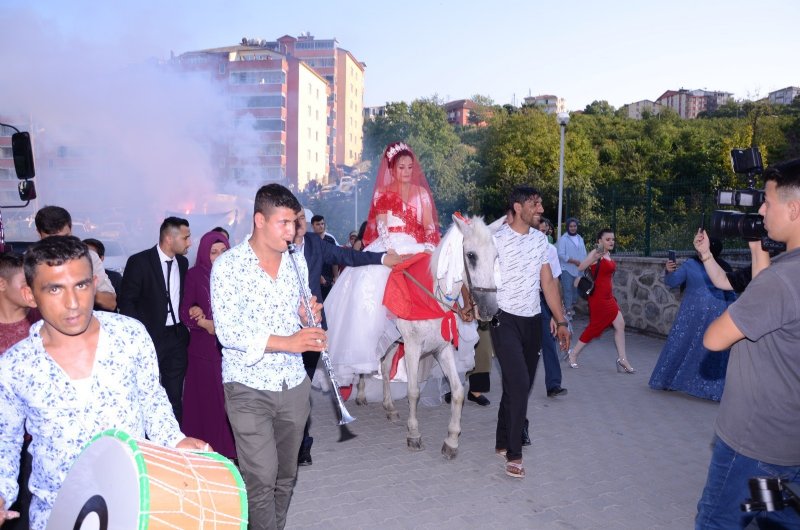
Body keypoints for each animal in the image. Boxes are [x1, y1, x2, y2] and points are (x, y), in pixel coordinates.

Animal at [358, 212, 500, 456]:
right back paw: (359, 394)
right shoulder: (413, 347)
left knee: (384, 368)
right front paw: (414, 434)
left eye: (495, 256)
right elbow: (413, 391)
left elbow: (458, 391)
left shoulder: (442, 349)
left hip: (393, 341)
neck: (432, 298)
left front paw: (451, 440)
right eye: (471, 256)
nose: (490, 309)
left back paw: (389, 407)